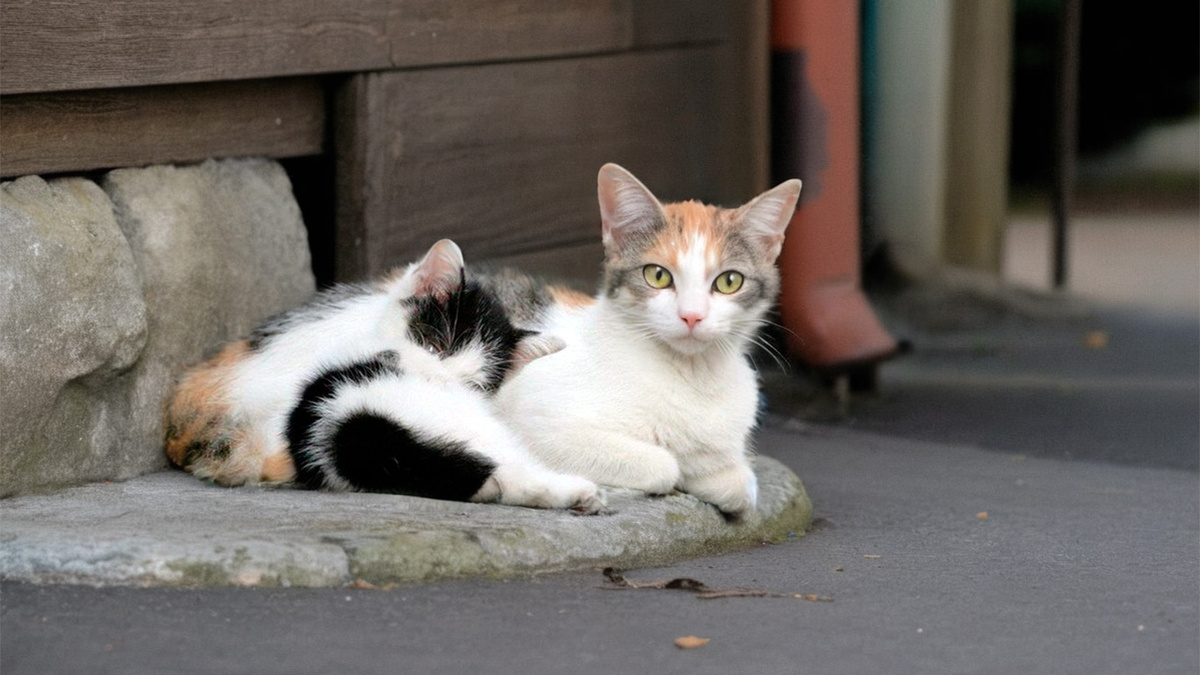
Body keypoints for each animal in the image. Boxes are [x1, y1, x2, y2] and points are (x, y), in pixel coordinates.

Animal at [482, 163, 801, 514]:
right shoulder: (541, 423)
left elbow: (742, 486)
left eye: (730, 281)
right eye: (657, 275)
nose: (692, 315)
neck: (691, 376)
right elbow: (665, 464)